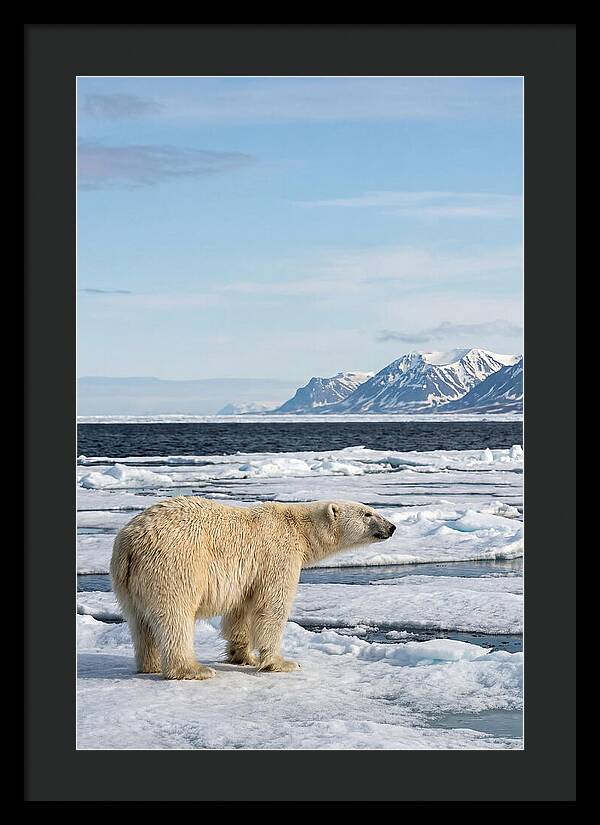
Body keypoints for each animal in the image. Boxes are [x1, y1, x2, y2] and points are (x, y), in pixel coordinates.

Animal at [110, 497, 396, 680]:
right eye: (368, 513)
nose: (392, 527)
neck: (299, 529)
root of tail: (130, 543)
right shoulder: (277, 555)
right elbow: (272, 607)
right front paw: (283, 662)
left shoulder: (249, 576)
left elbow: (241, 612)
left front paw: (243, 656)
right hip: (174, 565)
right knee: (175, 616)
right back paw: (193, 669)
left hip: (126, 581)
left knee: (139, 622)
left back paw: (149, 664)